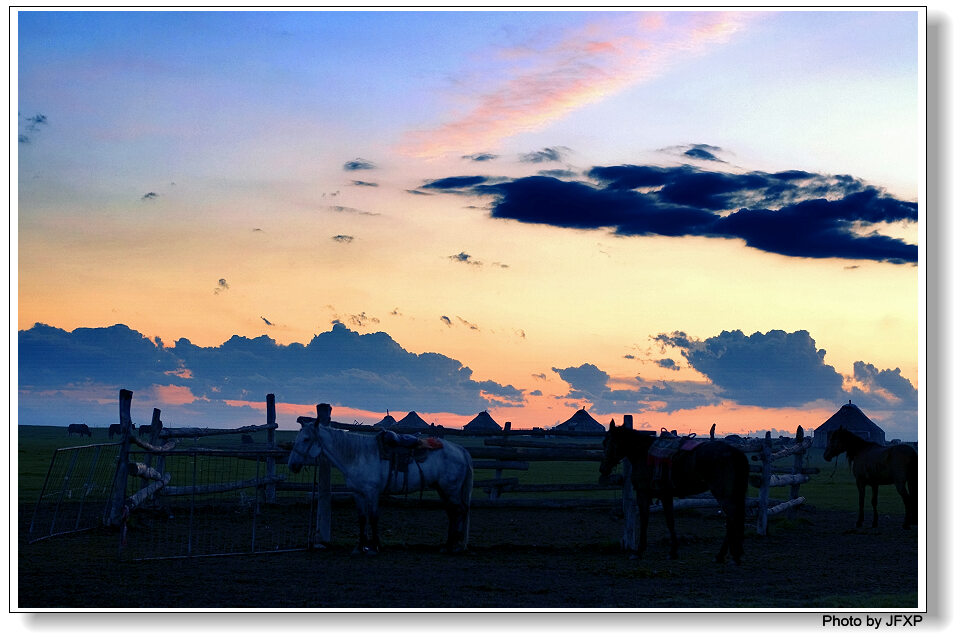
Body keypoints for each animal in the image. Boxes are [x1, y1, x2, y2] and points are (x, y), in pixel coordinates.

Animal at [286, 404, 474, 556]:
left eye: (306, 439)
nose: (292, 465)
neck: (358, 456)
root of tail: (461, 451)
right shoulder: (358, 493)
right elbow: (362, 518)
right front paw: (360, 547)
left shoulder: (372, 492)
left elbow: (374, 517)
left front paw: (375, 547)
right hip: (443, 489)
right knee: (452, 512)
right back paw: (448, 545)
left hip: (451, 489)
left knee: (460, 510)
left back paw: (454, 547)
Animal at [600, 424, 748, 564]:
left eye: (608, 443)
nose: (603, 469)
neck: (642, 453)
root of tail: (734, 451)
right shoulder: (666, 495)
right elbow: (670, 521)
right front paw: (673, 551)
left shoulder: (645, 493)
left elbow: (646, 520)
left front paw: (639, 551)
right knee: (731, 520)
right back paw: (723, 556)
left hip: (723, 494)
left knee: (732, 519)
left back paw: (728, 555)